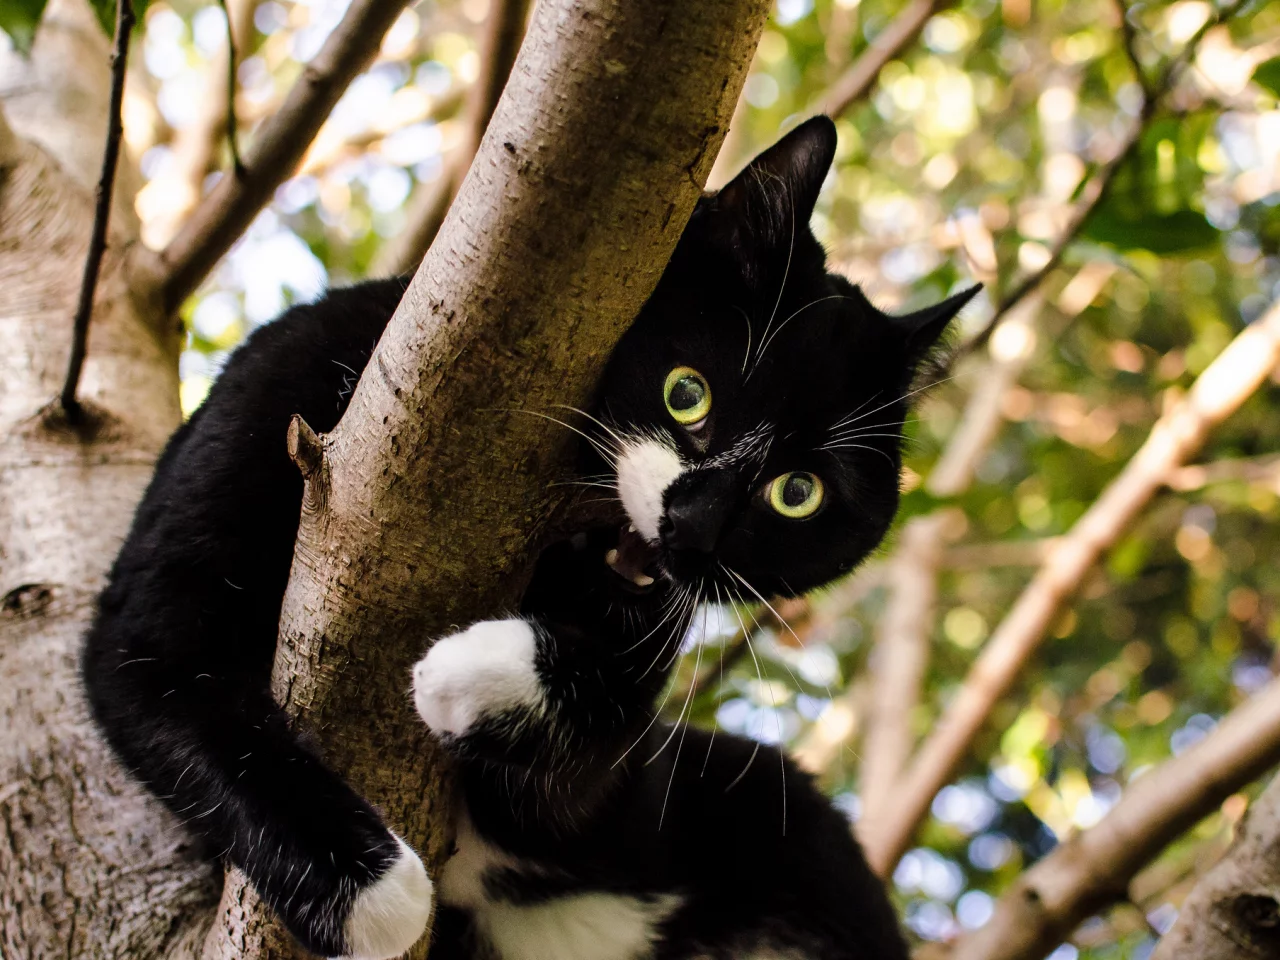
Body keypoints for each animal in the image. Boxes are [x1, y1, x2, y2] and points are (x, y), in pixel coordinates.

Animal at [80, 116, 972, 957]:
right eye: (688, 393)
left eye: (799, 493)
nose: (695, 526)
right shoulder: (273, 398)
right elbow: (167, 672)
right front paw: (374, 894)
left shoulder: (625, 796)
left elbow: (610, 728)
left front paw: (465, 673)